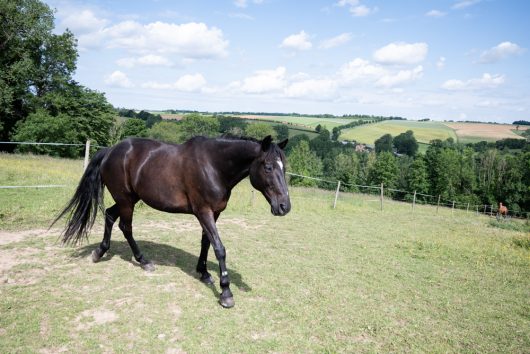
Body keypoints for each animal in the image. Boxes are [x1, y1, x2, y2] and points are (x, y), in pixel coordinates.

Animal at [52, 136, 290, 306]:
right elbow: (219, 248)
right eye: (268, 167)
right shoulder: (203, 212)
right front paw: (226, 292)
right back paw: (143, 261)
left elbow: (206, 242)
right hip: (126, 200)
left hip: (128, 199)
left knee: (110, 216)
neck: (214, 166)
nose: (284, 206)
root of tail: (110, 151)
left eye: (284, 167)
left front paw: (204, 273)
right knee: (126, 227)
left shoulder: (214, 213)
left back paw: (100, 252)